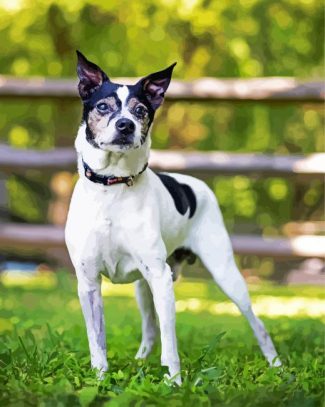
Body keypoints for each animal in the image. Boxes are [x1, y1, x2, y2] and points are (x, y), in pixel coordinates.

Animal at [64, 51, 280, 386]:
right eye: (103, 106)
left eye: (140, 110)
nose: (125, 125)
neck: (112, 188)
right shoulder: (88, 283)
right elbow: (97, 342)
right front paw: (99, 380)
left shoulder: (160, 278)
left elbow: (170, 343)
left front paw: (174, 383)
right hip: (142, 288)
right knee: (150, 329)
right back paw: (140, 360)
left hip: (225, 274)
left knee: (257, 323)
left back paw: (275, 364)